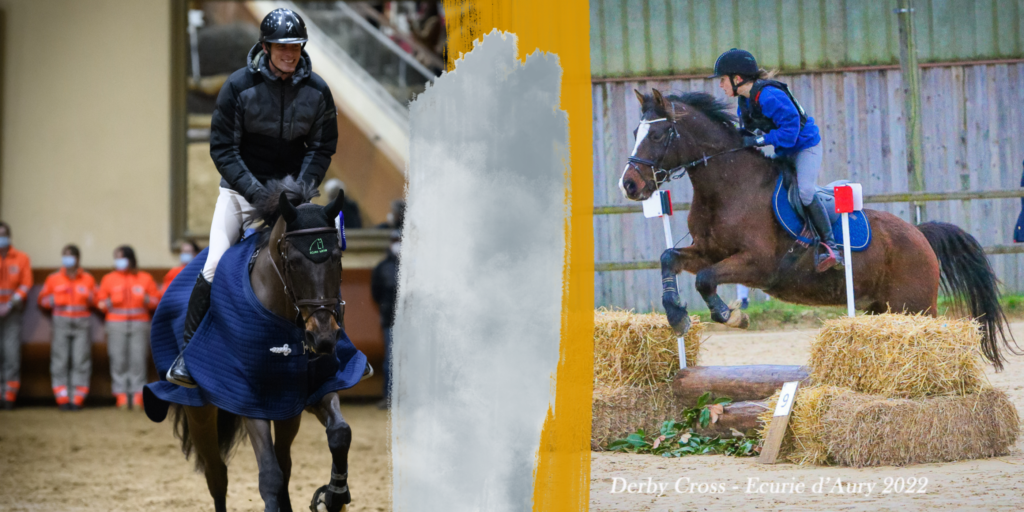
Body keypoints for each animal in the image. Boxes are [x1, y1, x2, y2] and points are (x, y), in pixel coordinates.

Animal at [149, 179, 360, 512]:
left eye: (337, 258)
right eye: (293, 262)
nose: (323, 338)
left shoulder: (315, 387)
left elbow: (340, 433)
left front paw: (334, 494)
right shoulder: (250, 399)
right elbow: (269, 475)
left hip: (287, 412)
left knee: (285, 462)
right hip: (200, 412)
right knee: (217, 474)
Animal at [618, 88, 1019, 368]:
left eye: (657, 136)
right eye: (635, 130)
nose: (629, 185)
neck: (727, 187)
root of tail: (921, 234)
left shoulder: (757, 263)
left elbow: (705, 280)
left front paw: (732, 316)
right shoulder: (707, 251)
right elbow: (669, 258)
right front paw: (676, 316)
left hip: (914, 306)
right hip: (881, 308)